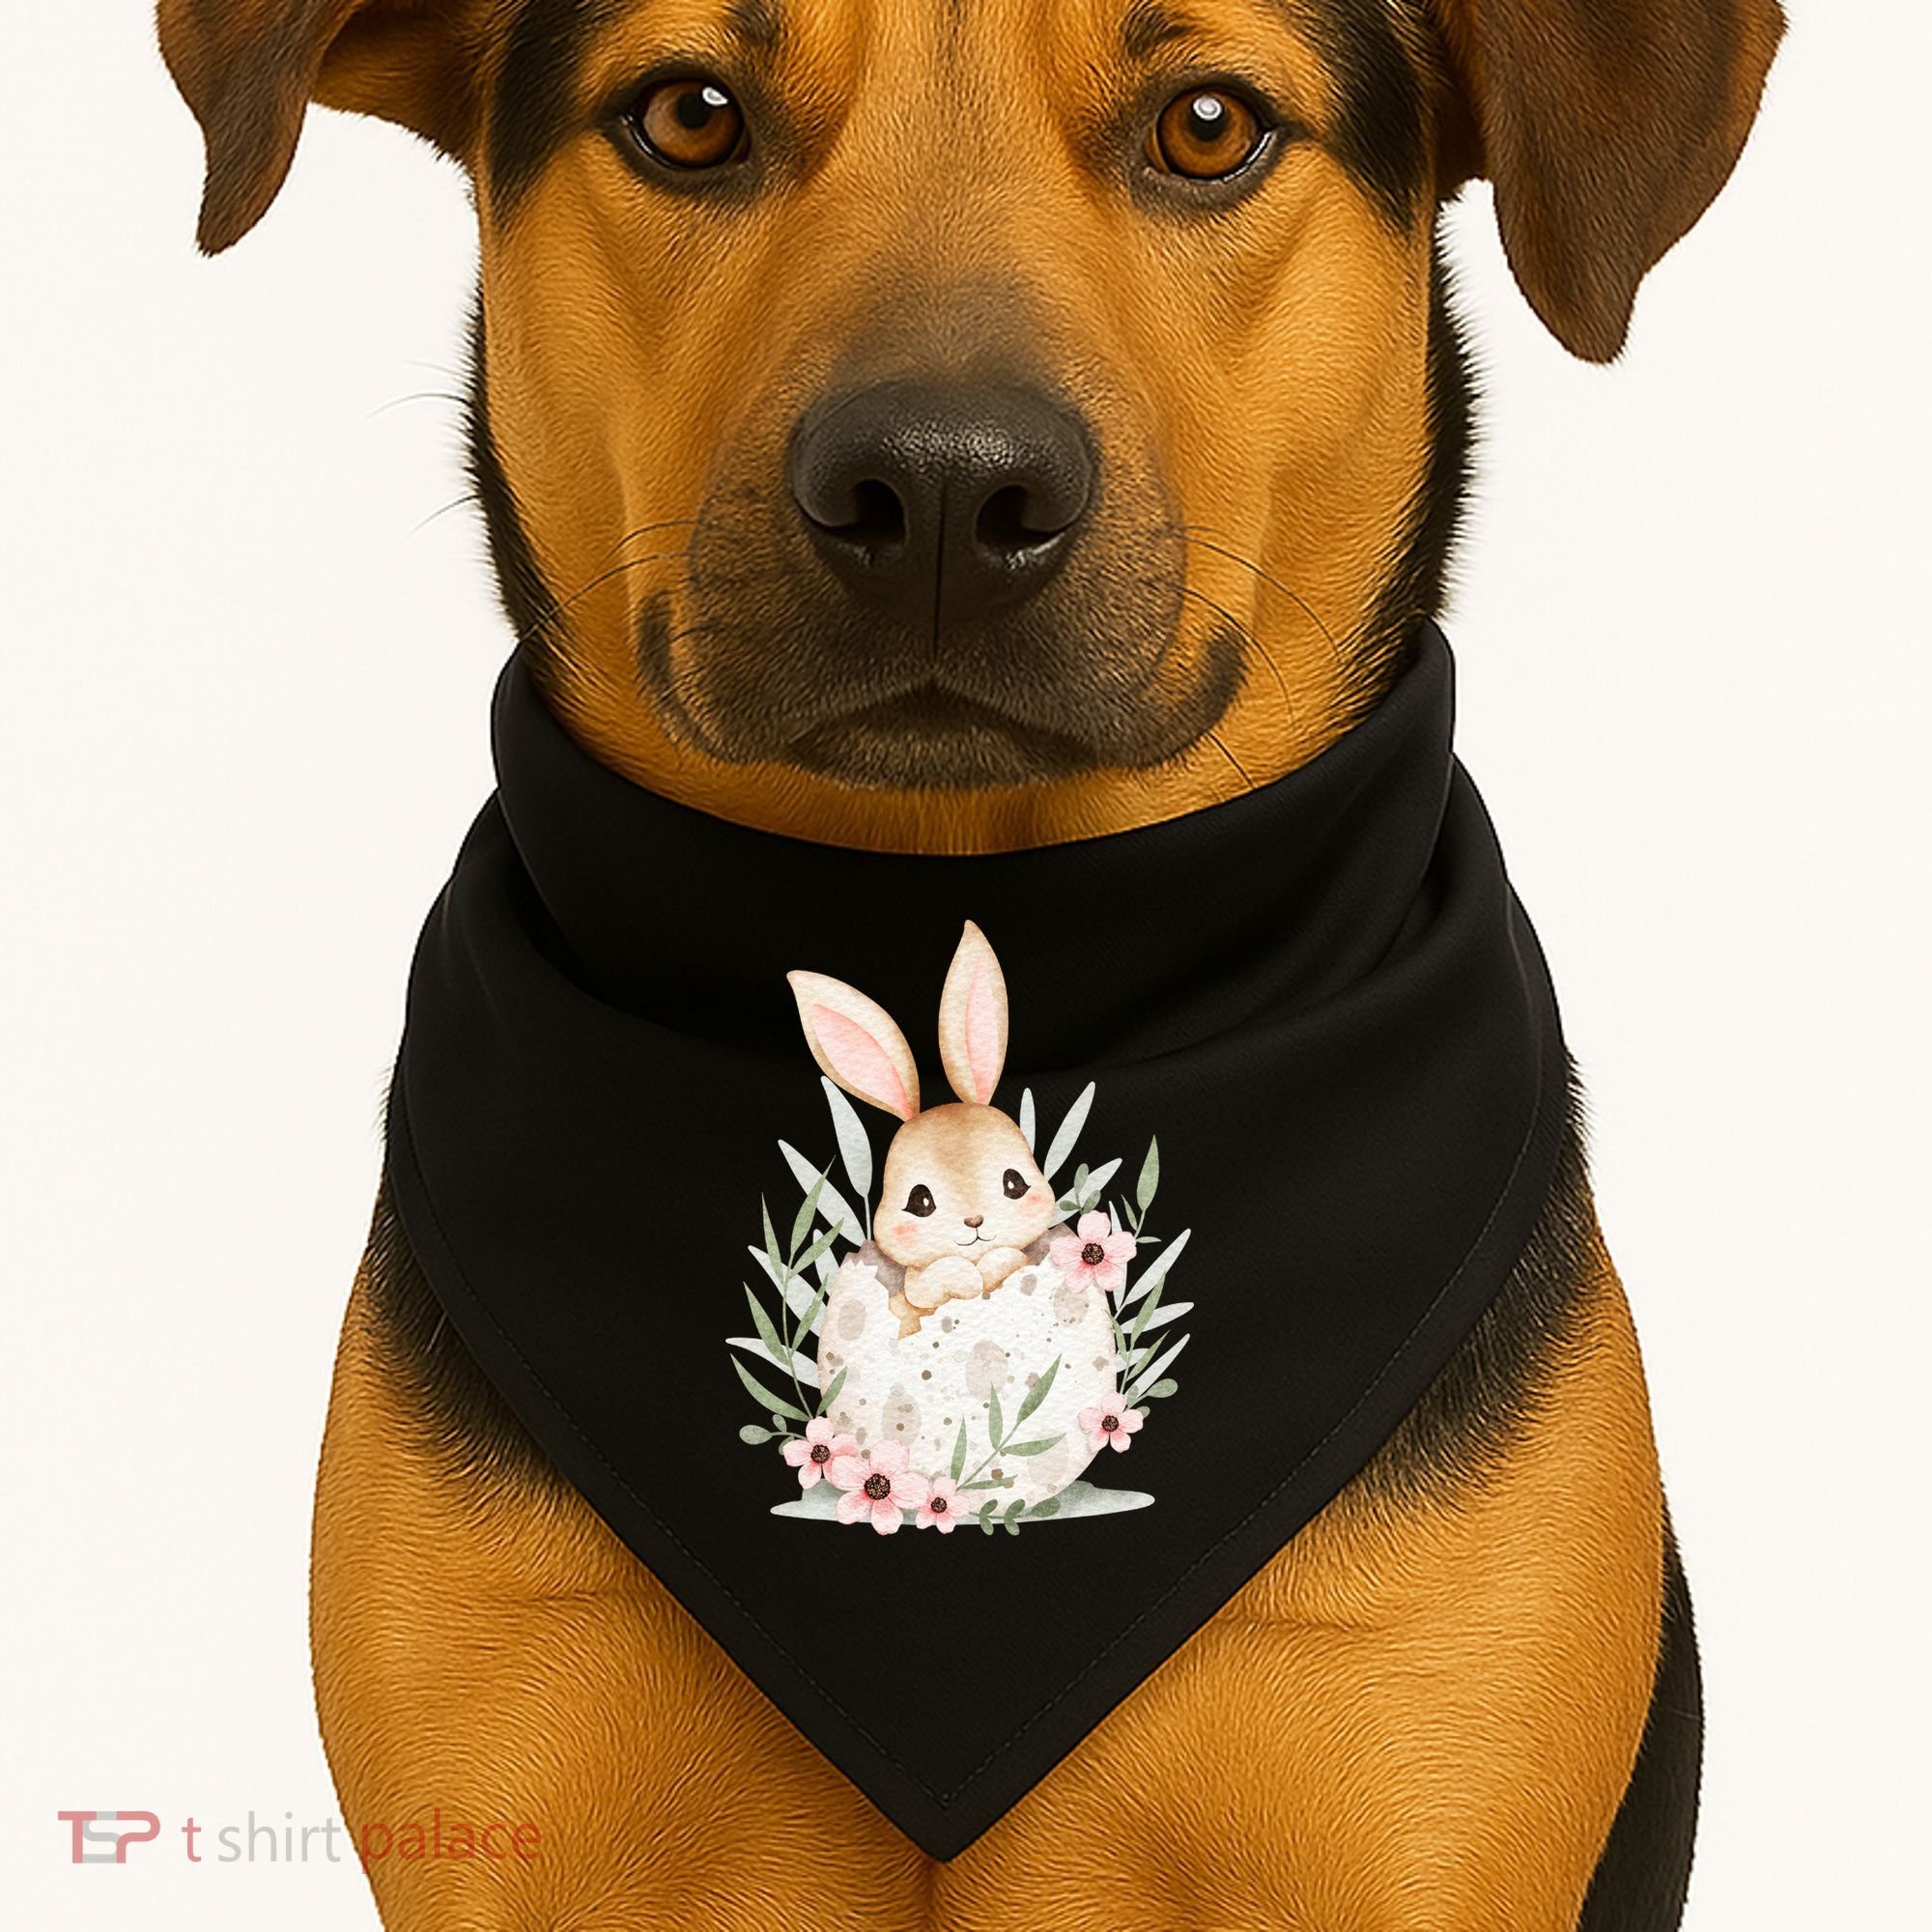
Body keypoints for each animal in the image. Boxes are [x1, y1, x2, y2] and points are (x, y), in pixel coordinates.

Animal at [789, 922, 1060, 1338]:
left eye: (1014, 1183)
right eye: (920, 1202)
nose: (975, 1220)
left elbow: (1010, 1260)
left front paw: (992, 1268)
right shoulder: (917, 1282)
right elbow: (933, 1282)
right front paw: (966, 1279)